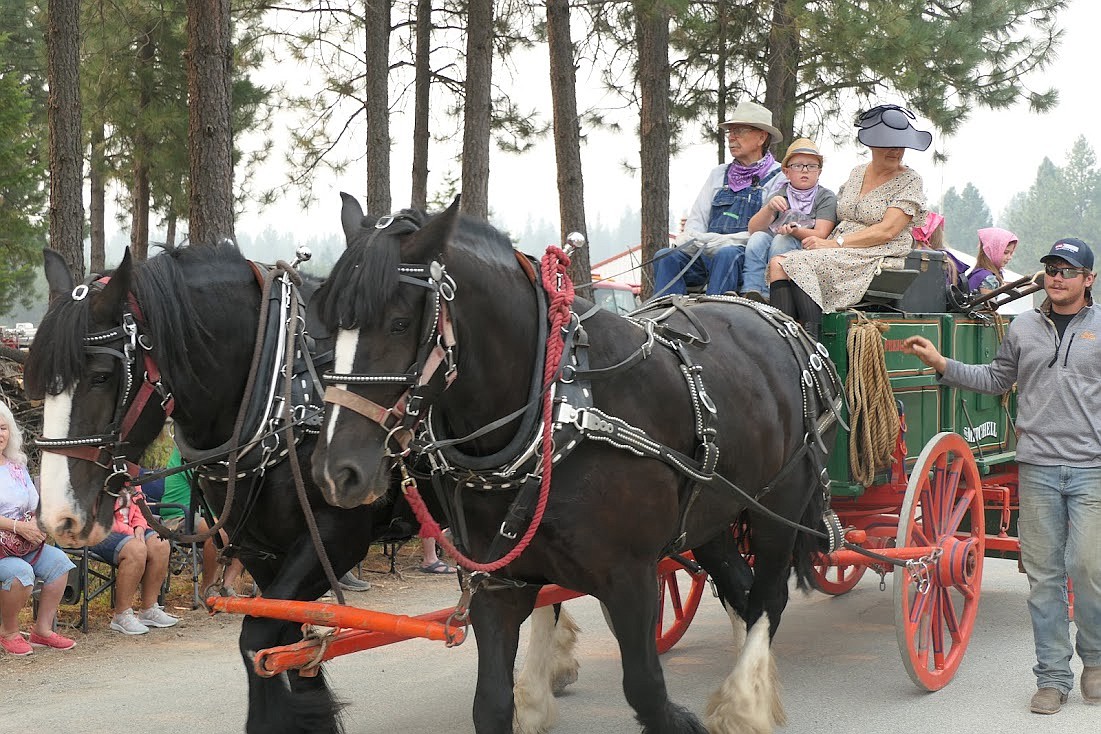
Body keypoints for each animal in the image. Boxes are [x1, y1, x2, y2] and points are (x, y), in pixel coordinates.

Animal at [23, 242, 585, 734]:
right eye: (36, 378)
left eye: (101, 375)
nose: (59, 518)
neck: (277, 390)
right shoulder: (263, 551)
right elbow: (283, 638)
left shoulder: (334, 539)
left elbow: (260, 639)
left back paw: (535, 695)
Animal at [310, 196, 841, 734]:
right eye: (329, 325)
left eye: (399, 322)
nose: (337, 471)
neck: (557, 413)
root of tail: (772, 316)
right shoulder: (499, 583)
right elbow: (491, 704)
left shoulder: (630, 577)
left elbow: (647, 691)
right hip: (711, 515)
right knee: (740, 588)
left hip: (781, 506)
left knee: (767, 599)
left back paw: (744, 701)